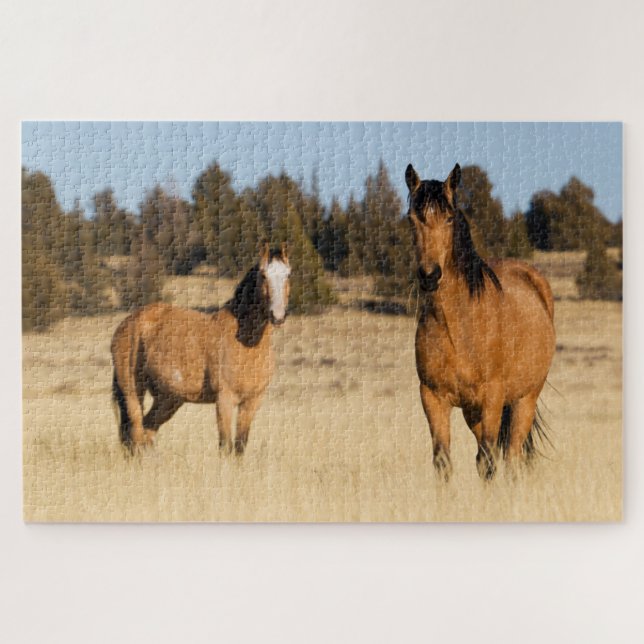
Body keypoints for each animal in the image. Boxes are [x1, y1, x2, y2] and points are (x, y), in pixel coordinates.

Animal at [110, 243, 291, 455]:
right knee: (136, 434)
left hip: (168, 399)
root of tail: (128, 323)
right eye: (263, 275)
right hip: (133, 392)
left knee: (147, 430)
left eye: (288, 275)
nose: (277, 315)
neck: (247, 343)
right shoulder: (224, 400)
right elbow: (226, 446)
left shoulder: (252, 402)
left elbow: (240, 446)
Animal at [405, 164, 556, 481]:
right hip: (472, 412)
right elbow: (443, 461)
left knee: (510, 457)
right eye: (412, 219)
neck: (458, 327)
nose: (429, 275)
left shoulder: (492, 398)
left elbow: (488, 462)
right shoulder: (433, 398)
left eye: (449, 218)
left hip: (524, 400)